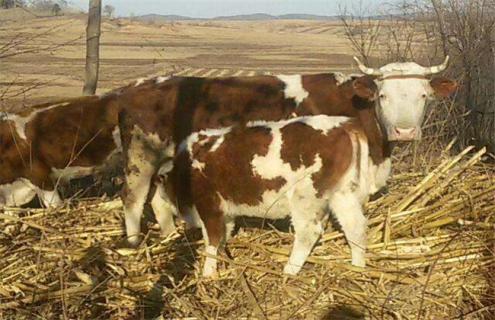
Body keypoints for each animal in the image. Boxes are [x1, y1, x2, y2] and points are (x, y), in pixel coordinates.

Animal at [173, 73, 458, 278]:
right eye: (383, 96)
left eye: (424, 95)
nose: (404, 130)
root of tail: (346, 126)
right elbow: (224, 232)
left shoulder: (209, 202)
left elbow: (212, 239)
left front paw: (208, 274)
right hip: (342, 193)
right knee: (355, 226)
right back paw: (357, 267)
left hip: (305, 196)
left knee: (309, 231)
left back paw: (289, 270)